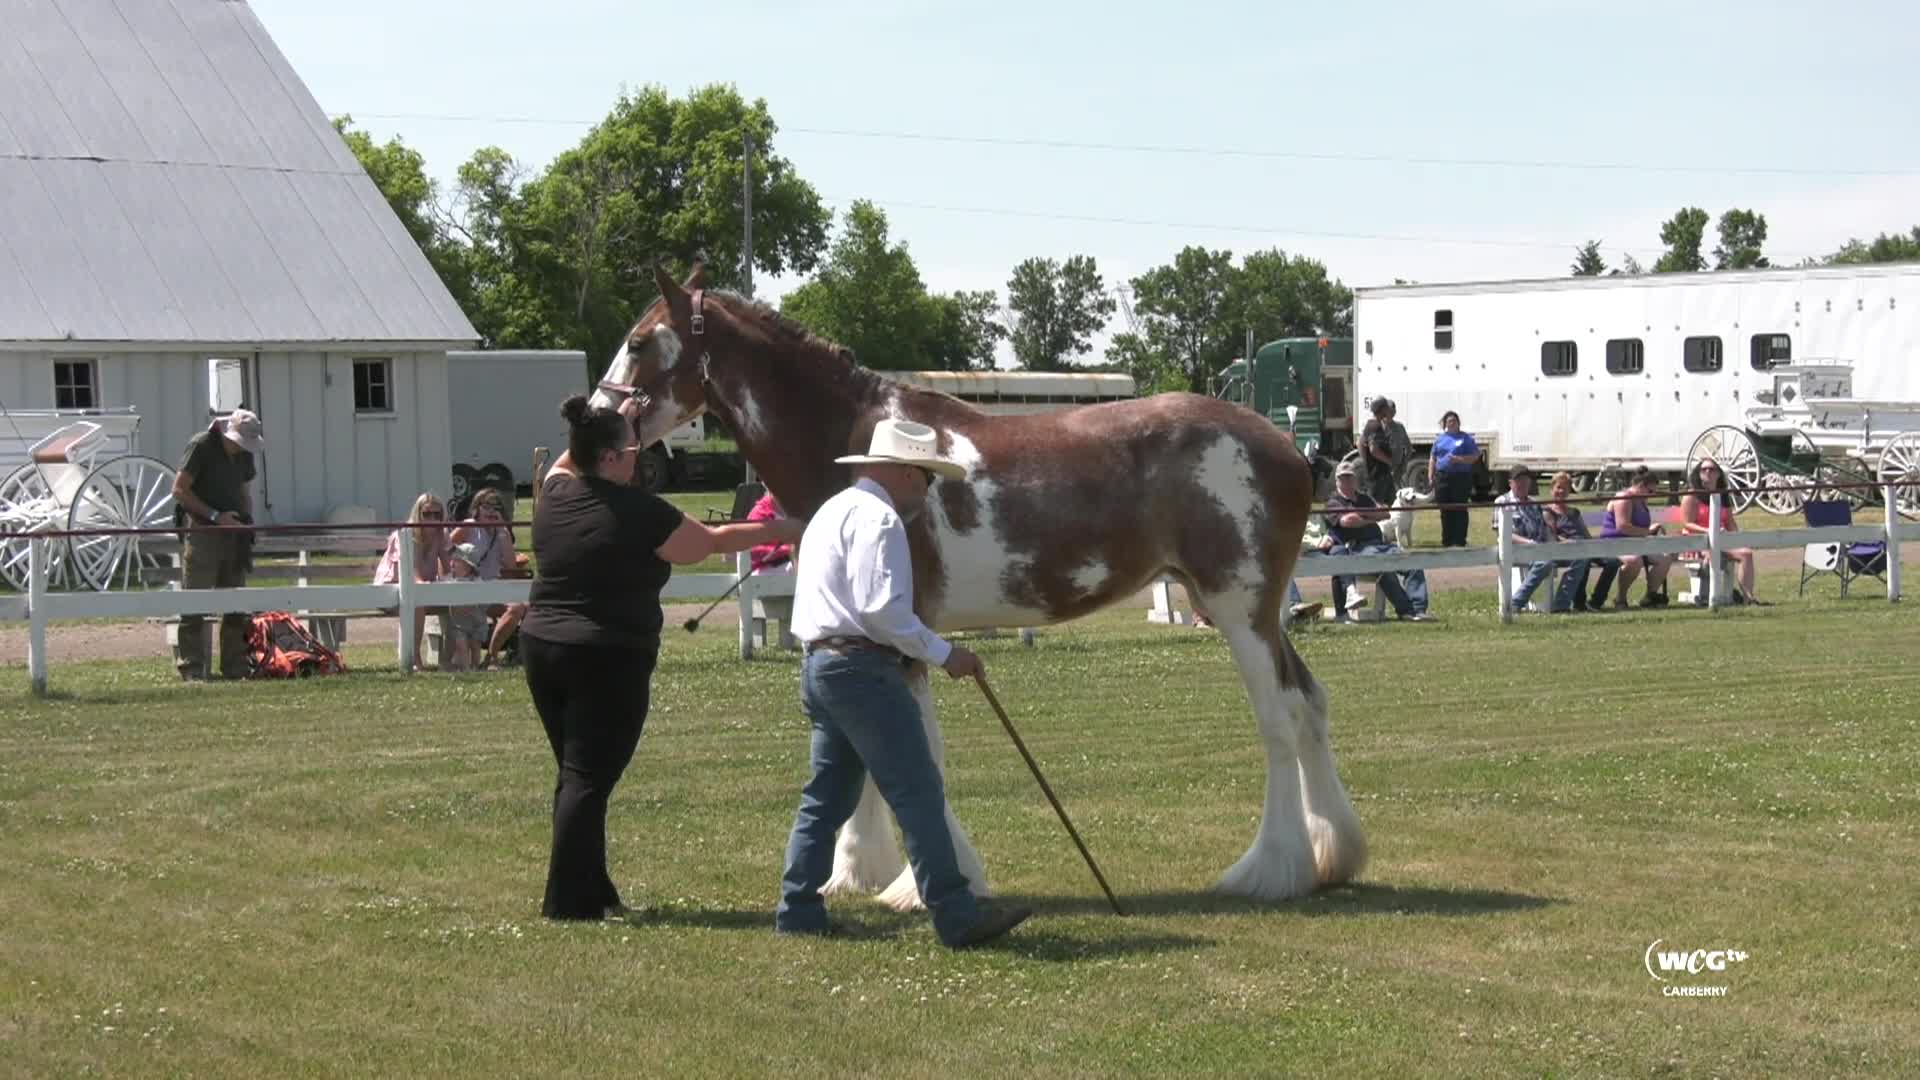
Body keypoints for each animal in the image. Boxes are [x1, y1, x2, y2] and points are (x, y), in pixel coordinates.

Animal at [591, 263, 1368, 907]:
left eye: (639, 342)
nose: (594, 418)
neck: (857, 451)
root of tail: (1283, 445)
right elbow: (874, 752)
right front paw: (858, 870)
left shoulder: (905, 629)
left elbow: (913, 755)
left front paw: (924, 881)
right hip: (1249, 611)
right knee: (1312, 703)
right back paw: (1334, 855)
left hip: (1240, 610)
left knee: (1279, 718)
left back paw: (1272, 870)